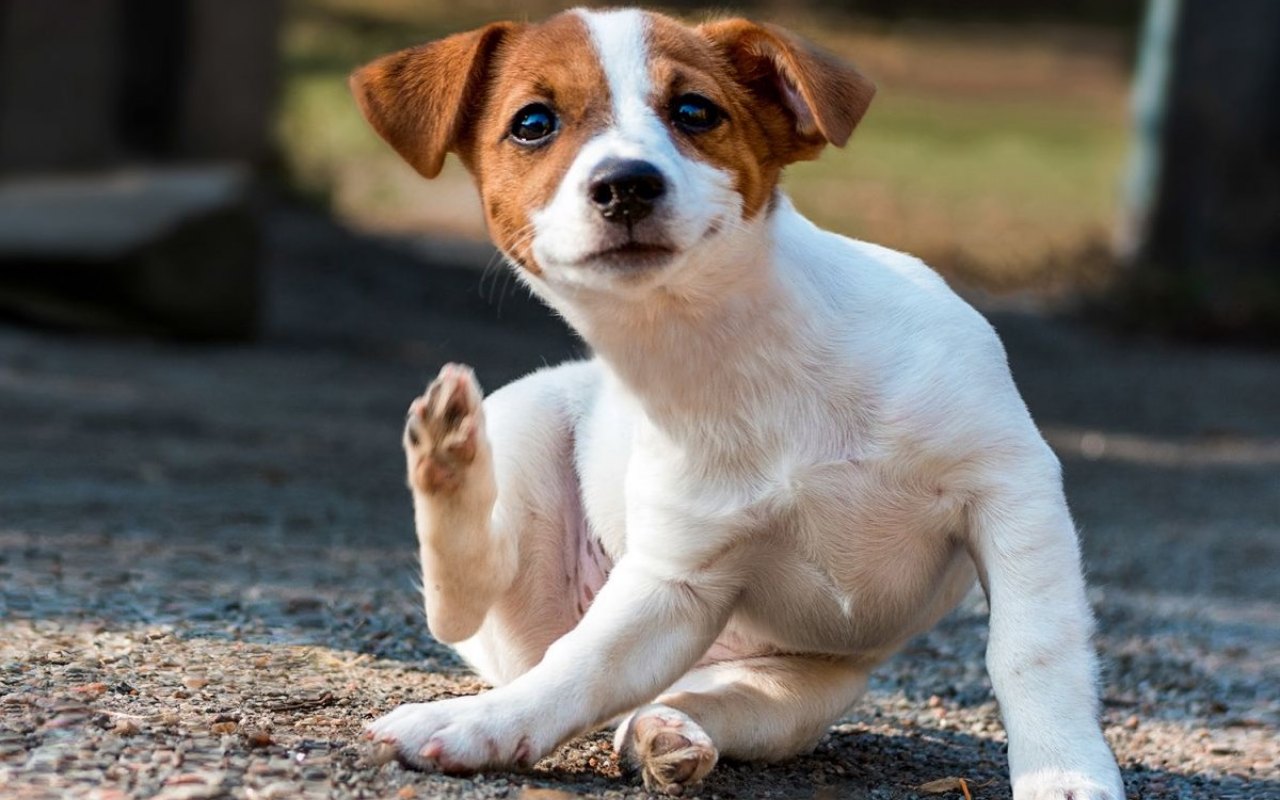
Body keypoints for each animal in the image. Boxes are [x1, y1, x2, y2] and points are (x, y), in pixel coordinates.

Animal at [350, 7, 1121, 798]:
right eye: (533, 123)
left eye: (696, 111)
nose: (626, 185)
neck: (734, 354)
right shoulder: (679, 581)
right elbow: (580, 666)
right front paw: (479, 726)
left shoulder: (1011, 490)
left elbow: (1031, 649)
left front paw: (1062, 771)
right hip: (529, 443)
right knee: (470, 607)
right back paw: (449, 458)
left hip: (795, 696)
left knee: (682, 698)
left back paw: (666, 731)